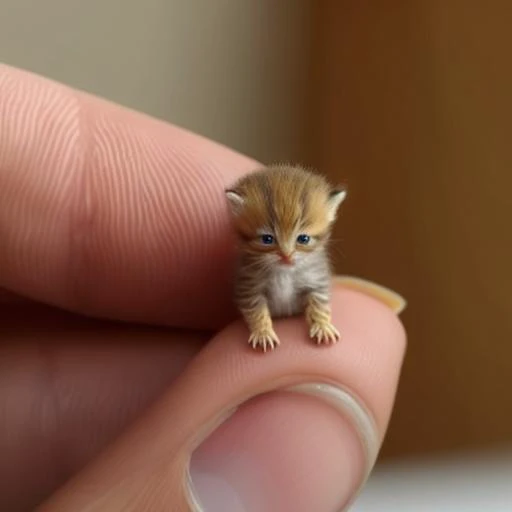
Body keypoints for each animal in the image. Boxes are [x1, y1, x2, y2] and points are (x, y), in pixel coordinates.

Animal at [225, 164, 348, 352]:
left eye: (303, 239)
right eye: (267, 239)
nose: (286, 255)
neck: (285, 272)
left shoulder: (317, 280)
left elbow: (319, 304)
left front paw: (322, 326)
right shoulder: (249, 286)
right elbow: (256, 311)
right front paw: (263, 333)